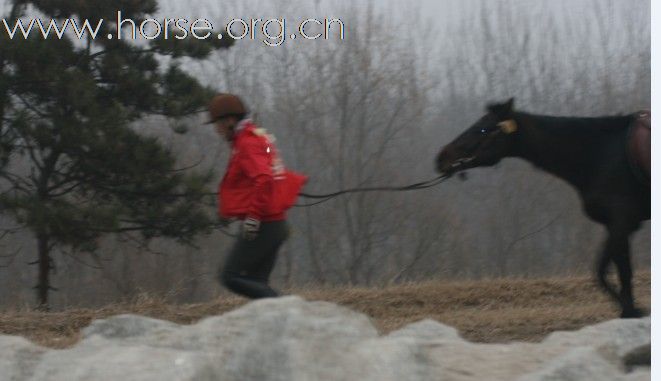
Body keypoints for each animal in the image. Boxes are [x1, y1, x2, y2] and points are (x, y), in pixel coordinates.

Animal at [436, 98, 648, 318]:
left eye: (482, 129)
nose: (442, 157)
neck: (601, 154)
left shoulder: (621, 222)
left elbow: (622, 273)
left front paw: (632, 310)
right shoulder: (618, 225)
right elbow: (601, 272)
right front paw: (632, 309)